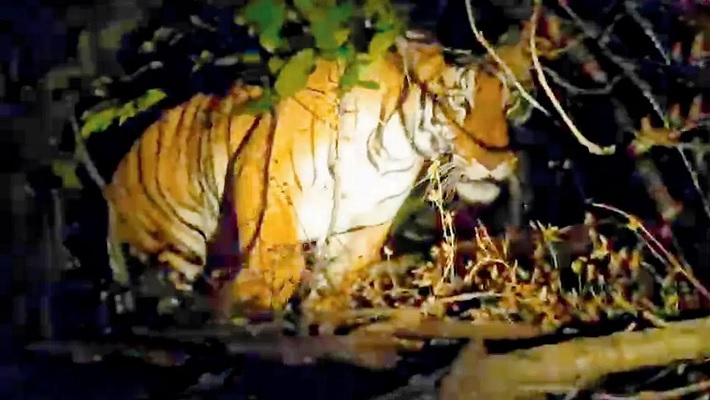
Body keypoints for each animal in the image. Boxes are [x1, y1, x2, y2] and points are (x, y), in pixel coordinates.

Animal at [103, 31, 529, 317]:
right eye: (460, 102)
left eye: (508, 105)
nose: (498, 162)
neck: (394, 152)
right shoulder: (265, 172)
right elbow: (276, 258)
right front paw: (253, 308)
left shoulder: (368, 221)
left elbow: (339, 278)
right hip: (167, 250)